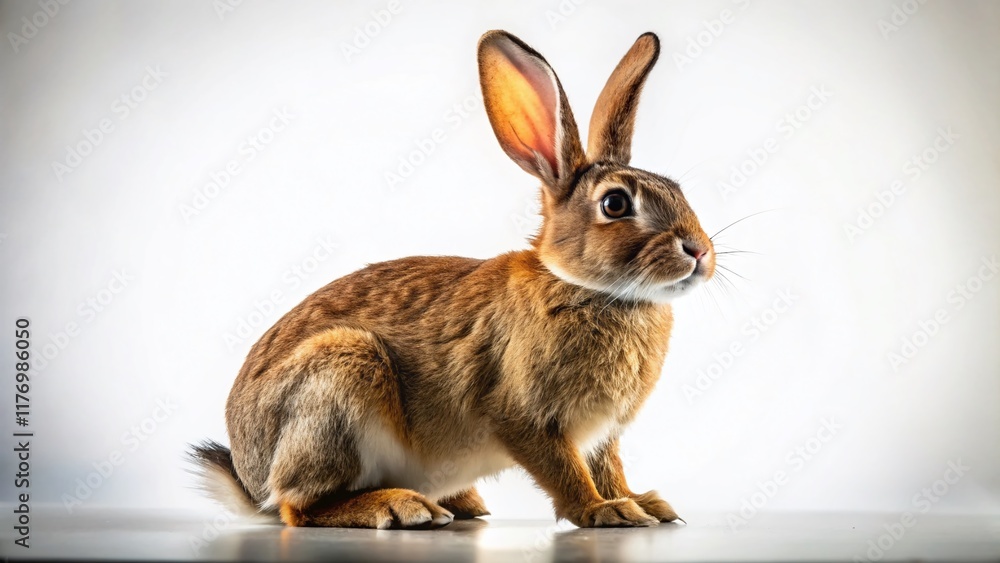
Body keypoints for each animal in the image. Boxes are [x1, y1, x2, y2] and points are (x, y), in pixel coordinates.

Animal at [190, 29, 715, 530]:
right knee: (299, 506)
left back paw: (461, 504)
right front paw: (605, 512)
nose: (700, 251)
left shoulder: (603, 436)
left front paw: (644, 503)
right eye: (615, 204)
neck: (587, 288)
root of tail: (251, 476)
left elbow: (608, 468)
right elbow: (565, 470)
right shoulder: (524, 416)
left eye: (678, 189)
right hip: (336, 382)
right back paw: (402, 507)